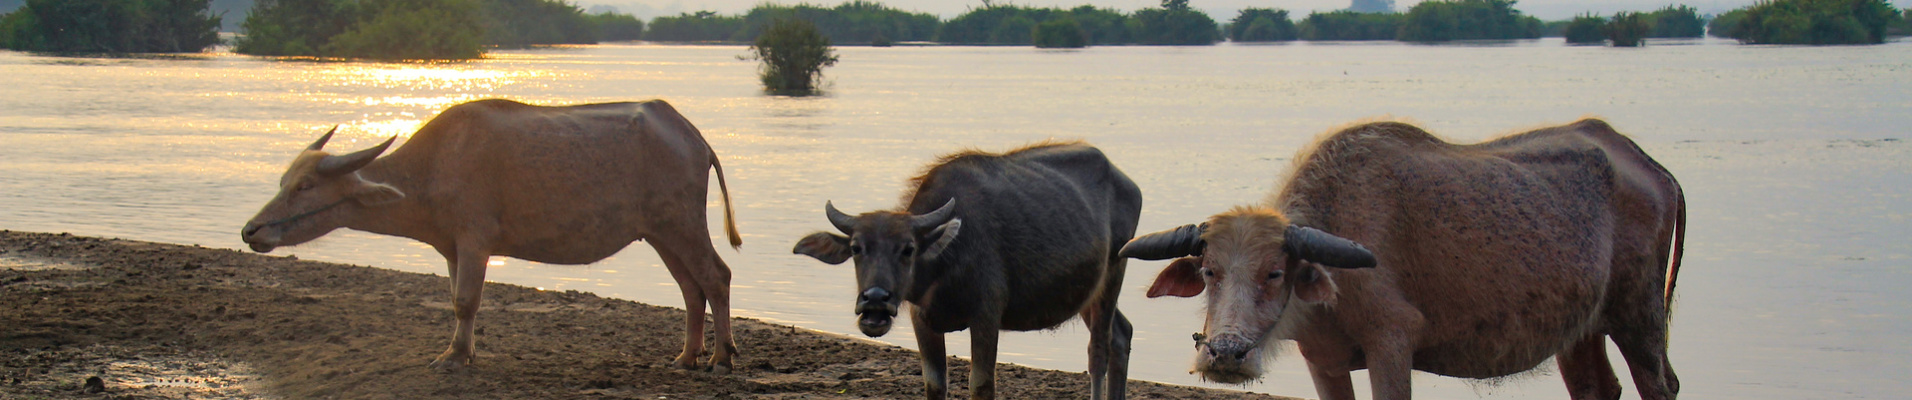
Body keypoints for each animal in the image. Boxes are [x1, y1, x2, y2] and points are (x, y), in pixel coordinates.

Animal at [239, 98, 745, 373]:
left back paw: (721, 358)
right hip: (660, 234)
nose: (250, 230)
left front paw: (453, 357)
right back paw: (686, 357)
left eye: (305, 186)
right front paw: (464, 351)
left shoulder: (474, 243)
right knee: (690, 288)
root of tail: (693, 136)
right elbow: (456, 300)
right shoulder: (451, 250)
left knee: (716, 277)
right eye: (284, 181)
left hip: (682, 224)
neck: (432, 166)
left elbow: (466, 301)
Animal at [787, 141, 1131, 400]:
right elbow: (934, 384)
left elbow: (981, 384)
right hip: (1088, 294)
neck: (947, 261)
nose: (875, 300)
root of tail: (1125, 182)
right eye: (857, 248)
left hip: (1113, 275)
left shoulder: (986, 317)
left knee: (1098, 351)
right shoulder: (922, 321)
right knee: (1121, 333)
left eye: (908, 249)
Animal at [1116, 119, 1690, 400]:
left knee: (1661, 384)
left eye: (1274, 272)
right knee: (1598, 388)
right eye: (1209, 271)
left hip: (1640, 318)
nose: (1225, 354)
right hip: (1581, 328)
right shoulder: (1323, 361)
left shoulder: (1392, 343)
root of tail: (1652, 167)